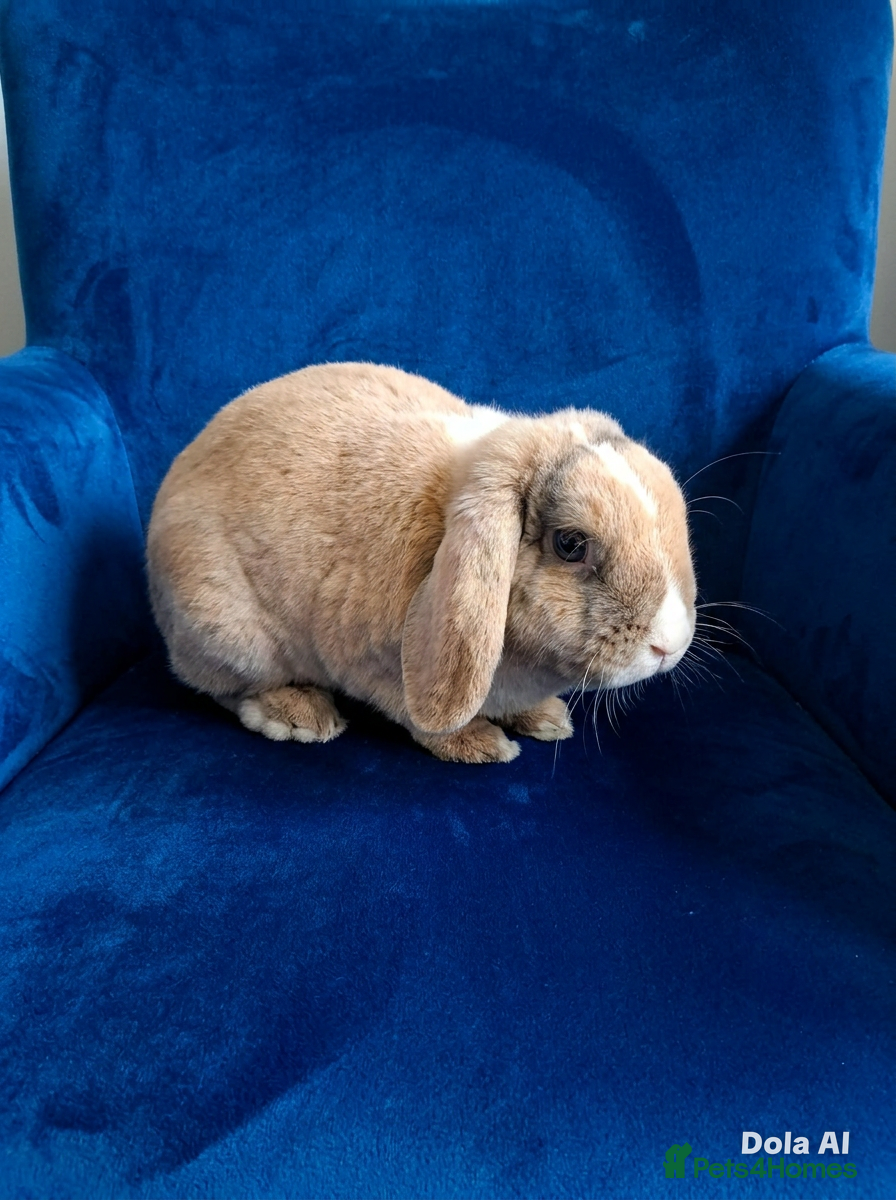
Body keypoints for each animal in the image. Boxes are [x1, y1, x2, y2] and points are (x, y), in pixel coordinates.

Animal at [146, 362, 696, 763]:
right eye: (571, 544)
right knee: (225, 689)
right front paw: (479, 745)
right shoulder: (374, 666)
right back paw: (297, 716)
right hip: (226, 632)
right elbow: (416, 717)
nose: (669, 644)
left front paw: (545, 719)